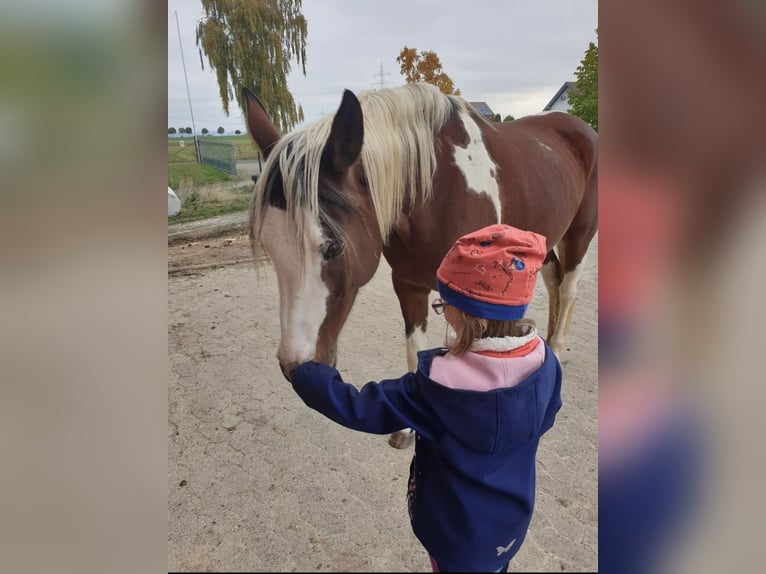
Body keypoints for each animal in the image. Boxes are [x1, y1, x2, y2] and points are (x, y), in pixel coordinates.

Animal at [246, 82, 600, 450]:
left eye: (333, 247)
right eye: (270, 248)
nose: (295, 367)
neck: (437, 190)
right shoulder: (408, 285)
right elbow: (413, 352)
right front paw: (407, 427)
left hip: (580, 234)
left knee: (568, 288)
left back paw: (555, 350)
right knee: (553, 280)